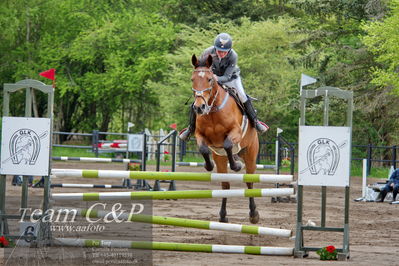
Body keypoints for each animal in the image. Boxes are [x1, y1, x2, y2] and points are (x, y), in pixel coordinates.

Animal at [191, 54, 260, 224]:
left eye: (210, 79)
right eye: (192, 79)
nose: (199, 107)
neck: (213, 110)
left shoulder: (235, 132)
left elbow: (228, 144)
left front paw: (236, 165)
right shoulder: (200, 136)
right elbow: (203, 148)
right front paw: (208, 165)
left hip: (250, 153)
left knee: (249, 182)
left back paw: (254, 215)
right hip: (220, 158)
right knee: (225, 185)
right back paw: (223, 216)